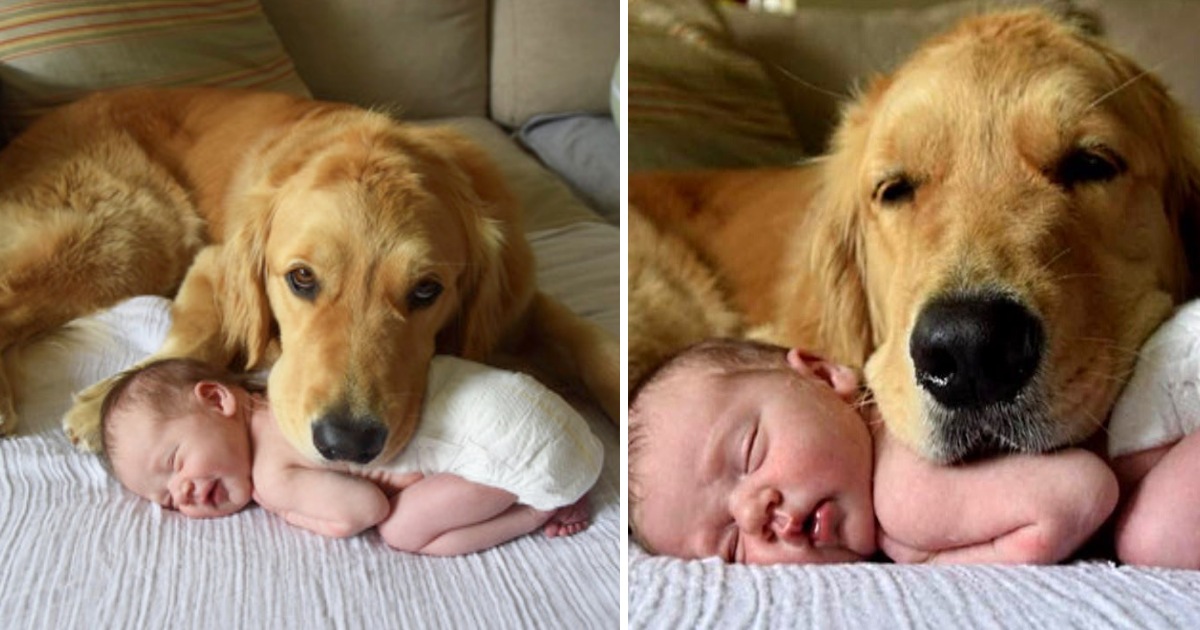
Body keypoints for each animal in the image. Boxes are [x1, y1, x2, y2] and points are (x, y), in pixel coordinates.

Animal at [0, 85, 614, 460]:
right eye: (300, 279)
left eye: (426, 291)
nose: (347, 443)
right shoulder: (212, 259)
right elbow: (200, 336)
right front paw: (108, 400)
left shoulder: (519, 298)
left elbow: (587, 339)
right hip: (139, 231)